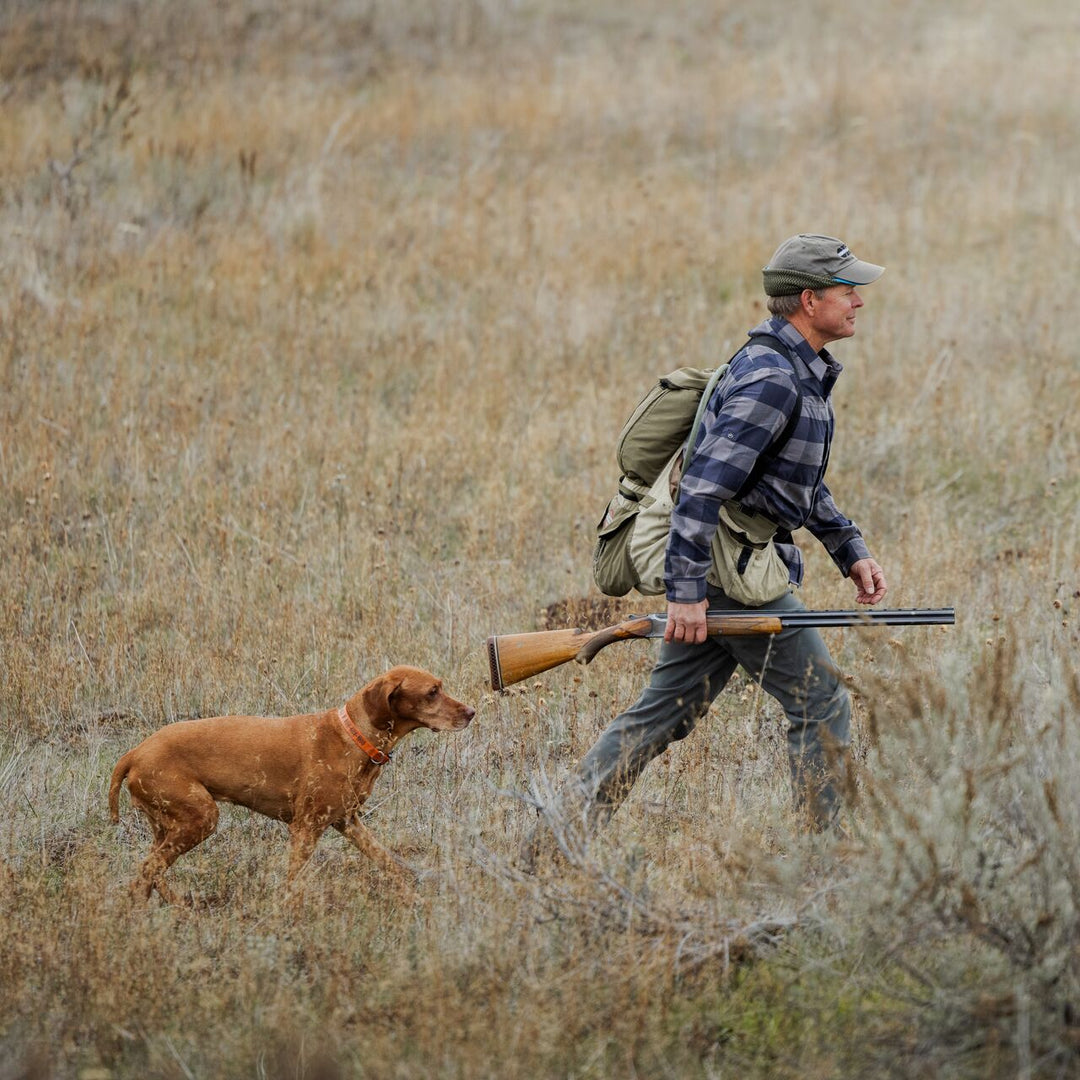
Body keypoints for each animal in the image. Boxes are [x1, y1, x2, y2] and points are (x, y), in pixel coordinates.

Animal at [108, 665, 473, 902]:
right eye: (432, 692)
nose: (471, 712)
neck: (354, 736)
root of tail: (135, 752)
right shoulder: (305, 828)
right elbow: (293, 883)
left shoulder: (348, 821)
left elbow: (389, 863)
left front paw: (413, 893)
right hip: (201, 817)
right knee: (149, 869)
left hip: (168, 825)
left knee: (148, 874)